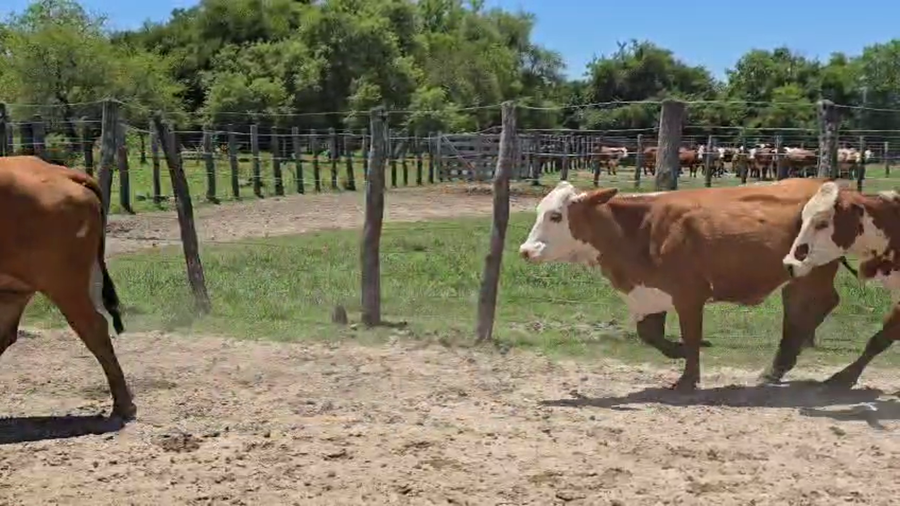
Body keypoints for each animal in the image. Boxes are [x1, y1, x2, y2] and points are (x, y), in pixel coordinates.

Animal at [518, 178, 854, 390]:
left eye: (556, 216)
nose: (526, 250)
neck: (640, 228)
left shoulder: (689, 295)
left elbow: (691, 336)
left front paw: (688, 377)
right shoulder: (649, 294)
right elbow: (651, 336)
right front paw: (679, 354)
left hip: (813, 272)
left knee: (821, 304)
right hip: (795, 277)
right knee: (801, 311)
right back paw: (780, 365)